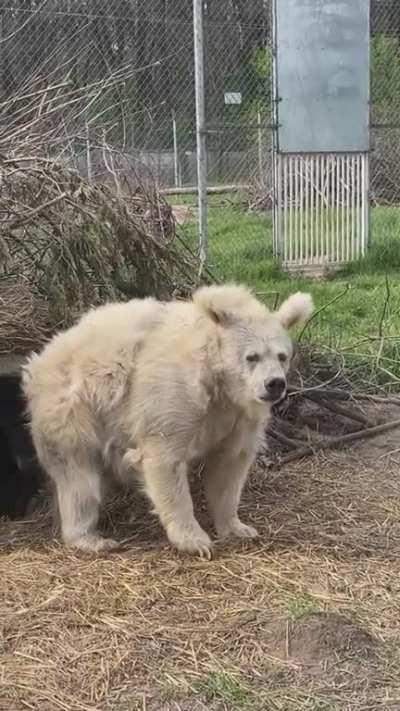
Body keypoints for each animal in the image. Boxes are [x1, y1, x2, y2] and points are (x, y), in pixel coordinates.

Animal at [22, 284, 313, 557]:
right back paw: (91, 538)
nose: (274, 384)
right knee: (79, 477)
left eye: (282, 356)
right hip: (75, 408)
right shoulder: (173, 394)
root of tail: (42, 357)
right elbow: (165, 458)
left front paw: (238, 527)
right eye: (252, 356)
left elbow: (229, 466)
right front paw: (195, 541)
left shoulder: (236, 416)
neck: (217, 381)